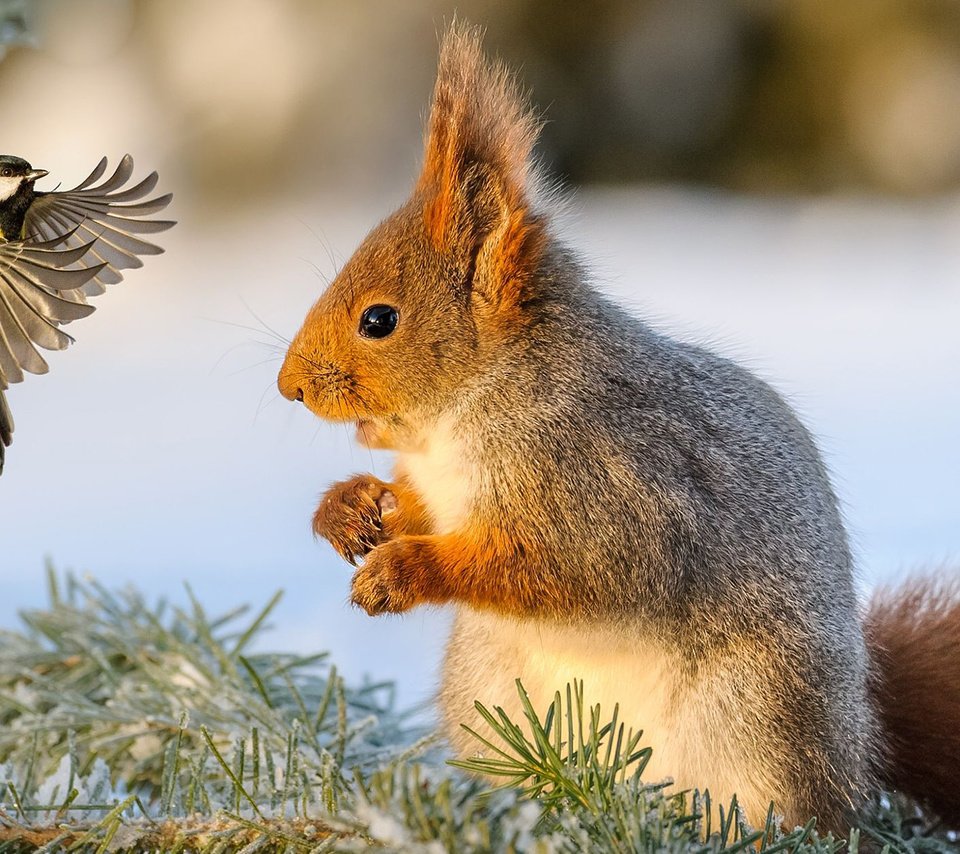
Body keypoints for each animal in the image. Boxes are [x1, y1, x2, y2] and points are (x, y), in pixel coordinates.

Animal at [278, 25, 960, 836]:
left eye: (378, 320)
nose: (287, 386)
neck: (466, 417)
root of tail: (859, 752)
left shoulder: (607, 483)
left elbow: (567, 568)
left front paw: (404, 570)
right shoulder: (440, 487)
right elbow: (411, 506)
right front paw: (349, 508)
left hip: (759, 712)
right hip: (490, 690)